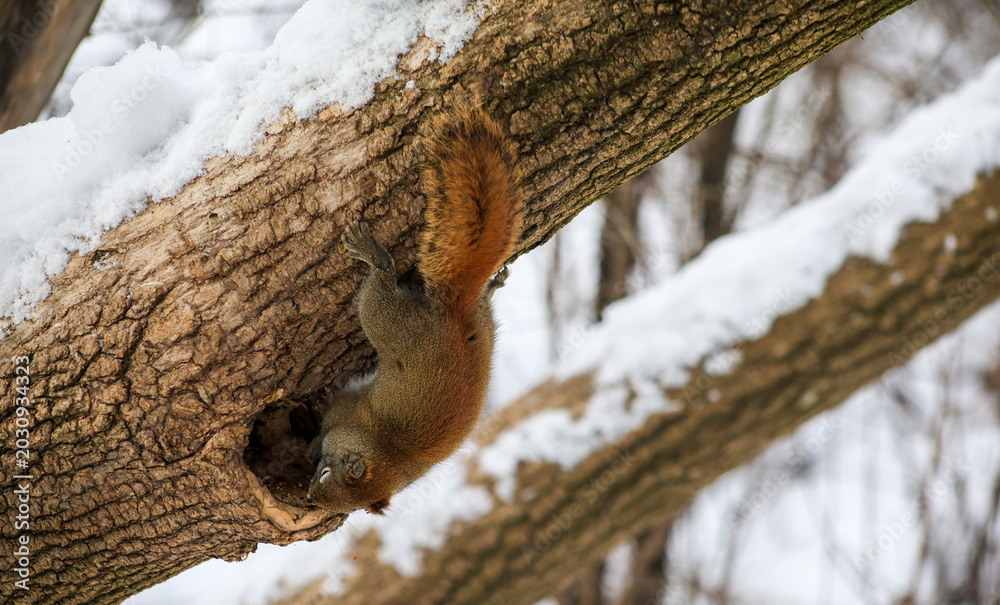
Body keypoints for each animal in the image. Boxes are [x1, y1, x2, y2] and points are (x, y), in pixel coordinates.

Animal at [306, 107, 523, 515]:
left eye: (327, 478)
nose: (308, 499)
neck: (390, 457)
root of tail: (455, 312)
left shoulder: (345, 414)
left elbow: (330, 414)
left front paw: (314, 429)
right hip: (482, 324)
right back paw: (492, 285)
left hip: (386, 318)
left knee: (381, 285)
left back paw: (374, 255)